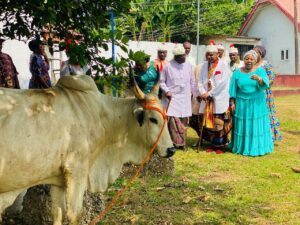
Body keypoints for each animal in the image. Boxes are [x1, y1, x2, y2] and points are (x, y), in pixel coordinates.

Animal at [0, 74, 176, 224]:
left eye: (165, 117)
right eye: (153, 119)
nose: (171, 150)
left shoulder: (58, 179)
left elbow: (57, 214)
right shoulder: (76, 171)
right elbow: (74, 215)